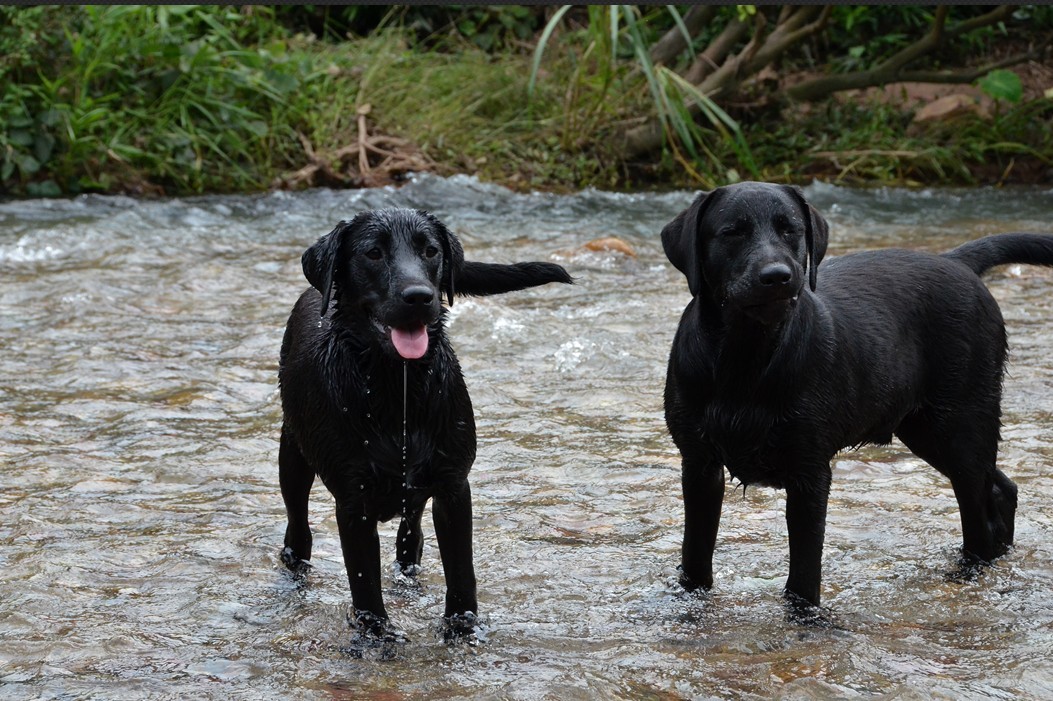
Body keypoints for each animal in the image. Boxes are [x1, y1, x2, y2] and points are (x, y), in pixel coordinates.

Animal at [280, 207, 572, 639]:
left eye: (431, 250)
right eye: (373, 252)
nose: (419, 296)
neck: (397, 391)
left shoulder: (453, 487)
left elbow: (462, 573)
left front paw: (463, 630)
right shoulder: (353, 503)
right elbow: (365, 584)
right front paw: (376, 638)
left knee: (410, 536)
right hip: (293, 455)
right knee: (298, 528)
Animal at [661, 179, 1053, 610]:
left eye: (790, 229)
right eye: (732, 231)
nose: (778, 276)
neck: (745, 359)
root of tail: (958, 261)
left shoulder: (810, 473)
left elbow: (804, 575)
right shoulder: (699, 465)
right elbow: (695, 558)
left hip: (962, 424)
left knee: (978, 516)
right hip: (930, 431)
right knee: (1001, 489)